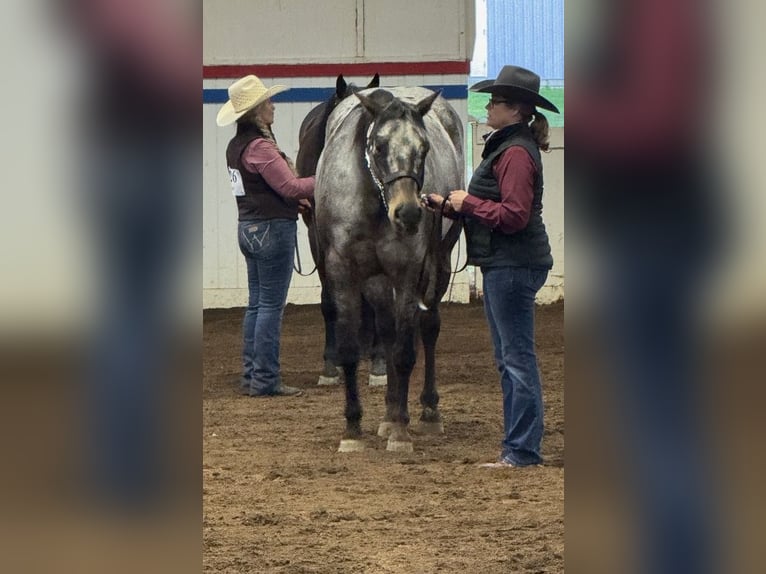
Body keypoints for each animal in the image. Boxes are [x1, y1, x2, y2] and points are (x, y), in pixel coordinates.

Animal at [314, 86, 464, 453]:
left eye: (424, 148)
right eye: (379, 146)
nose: (408, 213)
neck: (374, 202)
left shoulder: (408, 272)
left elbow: (405, 352)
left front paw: (400, 430)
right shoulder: (343, 272)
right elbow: (351, 349)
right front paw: (352, 428)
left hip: (437, 265)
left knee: (427, 328)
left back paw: (425, 411)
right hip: (378, 282)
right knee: (387, 329)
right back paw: (388, 412)